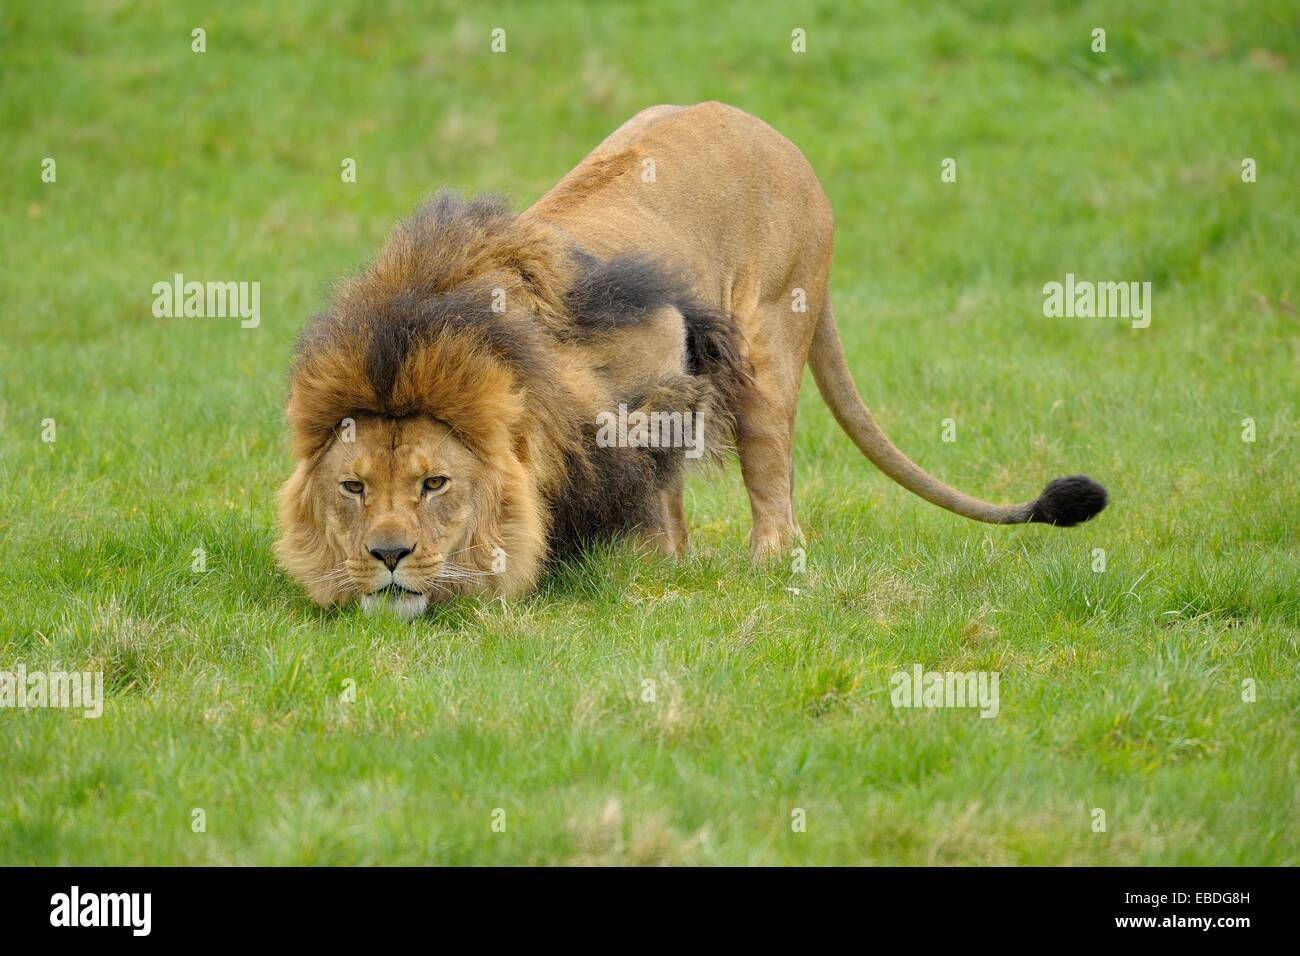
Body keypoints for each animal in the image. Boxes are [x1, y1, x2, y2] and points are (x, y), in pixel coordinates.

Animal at [277, 102, 1106, 617]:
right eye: (352, 487)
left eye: (434, 484)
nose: (387, 555)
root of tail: (781, 139)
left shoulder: (659, 348)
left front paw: (632, 575)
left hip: (766, 340)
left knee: (773, 491)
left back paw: (765, 567)